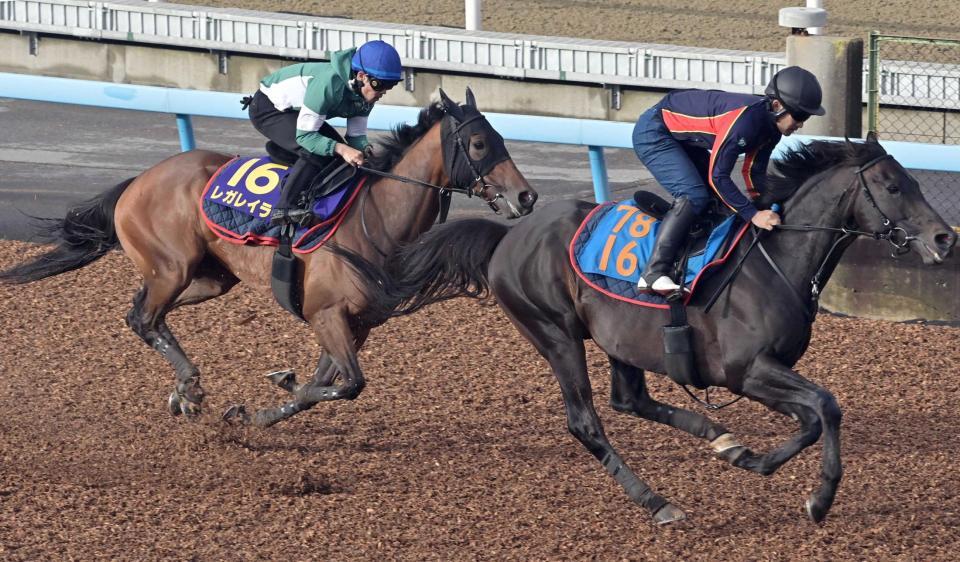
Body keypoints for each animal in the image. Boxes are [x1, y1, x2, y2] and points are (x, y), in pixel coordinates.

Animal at [0, 88, 537, 428]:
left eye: (502, 139)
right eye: (478, 143)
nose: (527, 197)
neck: (374, 217)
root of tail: (140, 179)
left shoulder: (356, 323)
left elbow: (325, 384)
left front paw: (263, 406)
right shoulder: (327, 313)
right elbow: (349, 385)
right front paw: (273, 392)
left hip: (209, 278)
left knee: (146, 313)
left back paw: (183, 391)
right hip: (172, 268)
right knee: (144, 317)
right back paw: (190, 386)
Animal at [348, 135, 956, 524]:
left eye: (911, 180)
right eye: (892, 186)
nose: (945, 238)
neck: (776, 259)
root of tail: (507, 236)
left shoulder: (769, 372)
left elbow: (813, 416)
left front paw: (752, 458)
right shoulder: (748, 371)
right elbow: (825, 407)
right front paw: (817, 497)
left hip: (619, 339)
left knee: (630, 400)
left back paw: (721, 438)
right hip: (555, 334)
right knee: (588, 422)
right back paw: (658, 502)